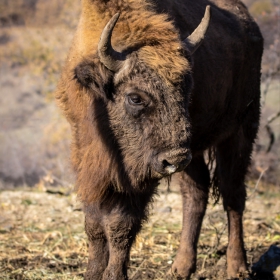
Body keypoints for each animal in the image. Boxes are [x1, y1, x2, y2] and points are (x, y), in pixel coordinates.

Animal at [55, 0, 262, 278]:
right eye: (135, 97)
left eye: (187, 90)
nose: (175, 159)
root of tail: (250, 24)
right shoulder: (89, 162)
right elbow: (95, 225)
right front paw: (92, 273)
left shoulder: (142, 174)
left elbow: (121, 226)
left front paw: (114, 274)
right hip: (194, 151)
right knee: (195, 195)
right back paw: (181, 267)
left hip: (240, 131)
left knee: (233, 195)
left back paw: (237, 267)